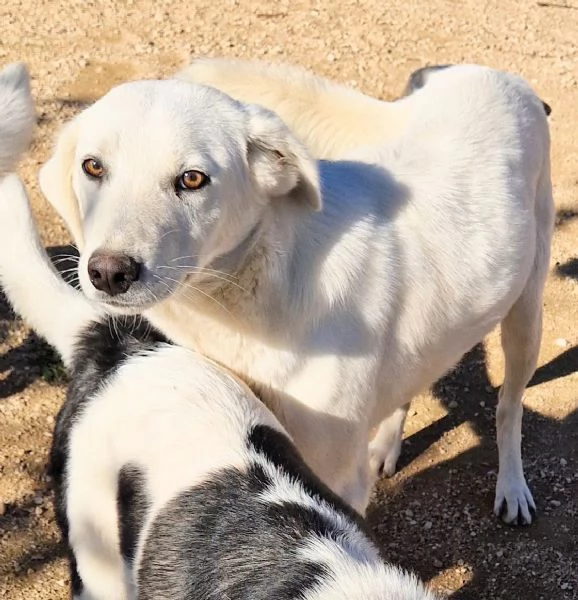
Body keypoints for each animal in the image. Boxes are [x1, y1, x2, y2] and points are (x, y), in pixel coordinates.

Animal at [38, 58, 552, 524]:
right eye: (93, 167)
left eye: (192, 178)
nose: (109, 272)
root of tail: (494, 75)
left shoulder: (336, 479)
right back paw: (388, 444)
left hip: (526, 315)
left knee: (509, 409)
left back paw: (512, 487)